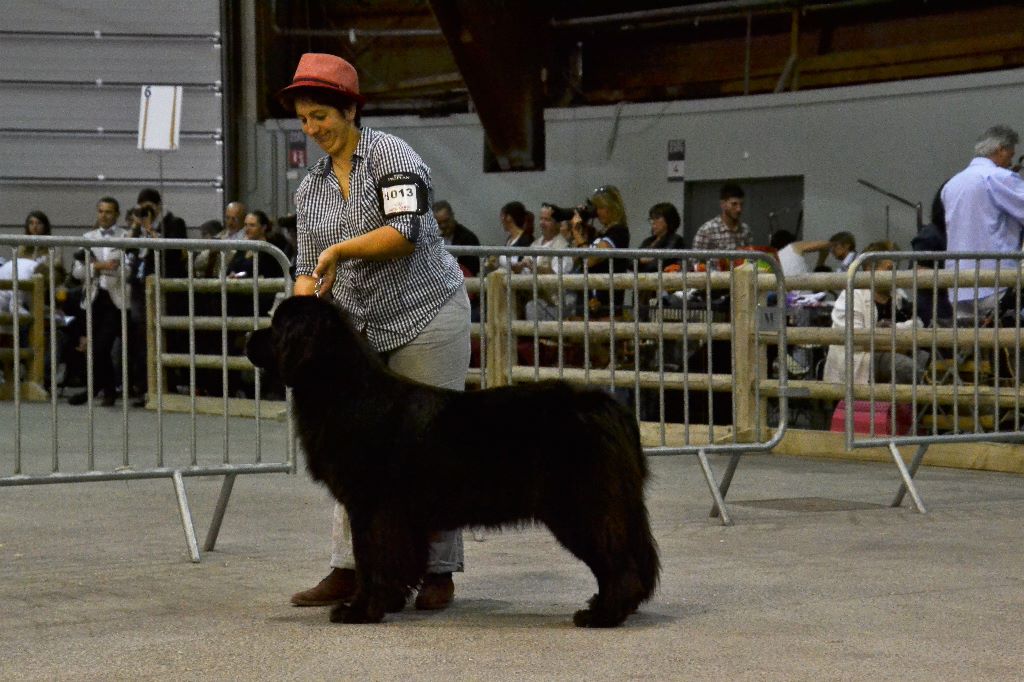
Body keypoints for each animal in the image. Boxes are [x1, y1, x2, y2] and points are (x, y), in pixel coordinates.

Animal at [246, 296, 659, 627]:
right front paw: (389, 601)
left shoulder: (371, 506)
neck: (341, 388)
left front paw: (360, 610)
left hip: (582, 507)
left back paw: (602, 614)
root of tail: (610, 406)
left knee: (618, 563)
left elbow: (370, 559)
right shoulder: (398, 515)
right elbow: (396, 559)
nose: (249, 336)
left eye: (276, 325)